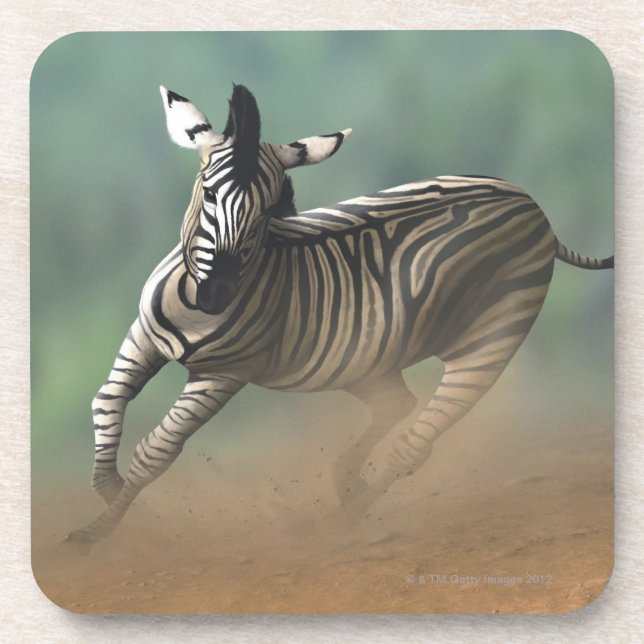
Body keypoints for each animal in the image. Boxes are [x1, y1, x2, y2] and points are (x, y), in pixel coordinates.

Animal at [67, 83, 613, 549]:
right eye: (209, 191)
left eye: (267, 211)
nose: (218, 294)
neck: (192, 301)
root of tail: (533, 207)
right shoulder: (143, 337)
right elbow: (106, 400)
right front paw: (106, 484)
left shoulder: (222, 376)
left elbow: (156, 451)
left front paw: (95, 532)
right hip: (364, 359)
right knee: (398, 404)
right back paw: (343, 482)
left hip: (491, 340)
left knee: (415, 441)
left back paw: (340, 520)